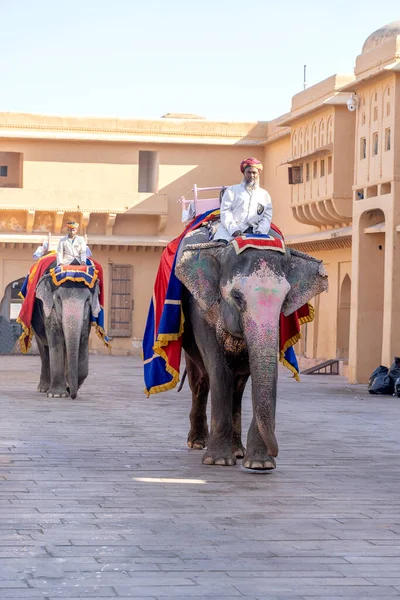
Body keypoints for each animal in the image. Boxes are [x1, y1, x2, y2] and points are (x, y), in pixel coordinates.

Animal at [175, 237, 328, 472]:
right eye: (237, 297)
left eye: (285, 299)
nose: (276, 451)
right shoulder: (201, 310)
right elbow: (219, 371)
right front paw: (218, 461)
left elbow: (268, 373)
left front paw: (260, 464)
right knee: (200, 381)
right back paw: (198, 442)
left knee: (237, 387)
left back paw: (237, 451)